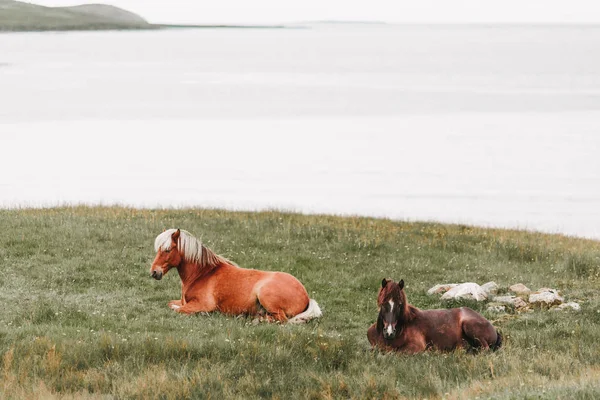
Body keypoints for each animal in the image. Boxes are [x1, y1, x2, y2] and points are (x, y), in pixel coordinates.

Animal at [150, 228, 324, 322]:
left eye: (167, 250)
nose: (154, 272)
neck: (202, 274)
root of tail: (306, 296)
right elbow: (171, 304)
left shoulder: (202, 304)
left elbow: (178, 309)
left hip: (266, 296)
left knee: (281, 320)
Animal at [366, 278, 502, 354]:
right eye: (383, 304)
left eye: (400, 305)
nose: (389, 332)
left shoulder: (415, 347)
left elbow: (396, 352)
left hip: (469, 326)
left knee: (484, 349)